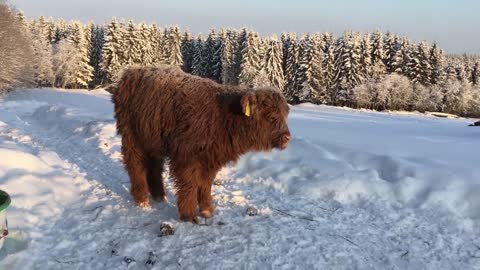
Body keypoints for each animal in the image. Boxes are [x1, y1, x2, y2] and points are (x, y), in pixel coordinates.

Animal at [110, 65, 290, 221]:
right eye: (270, 115)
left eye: (284, 114)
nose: (287, 137)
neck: (223, 117)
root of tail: (131, 73)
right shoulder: (186, 158)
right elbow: (189, 184)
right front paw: (188, 214)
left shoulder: (211, 159)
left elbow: (205, 183)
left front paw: (206, 210)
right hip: (132, 137)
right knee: (135, 164)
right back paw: (141, 199)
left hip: (153, 140)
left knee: (154, 166)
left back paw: (159, 195)